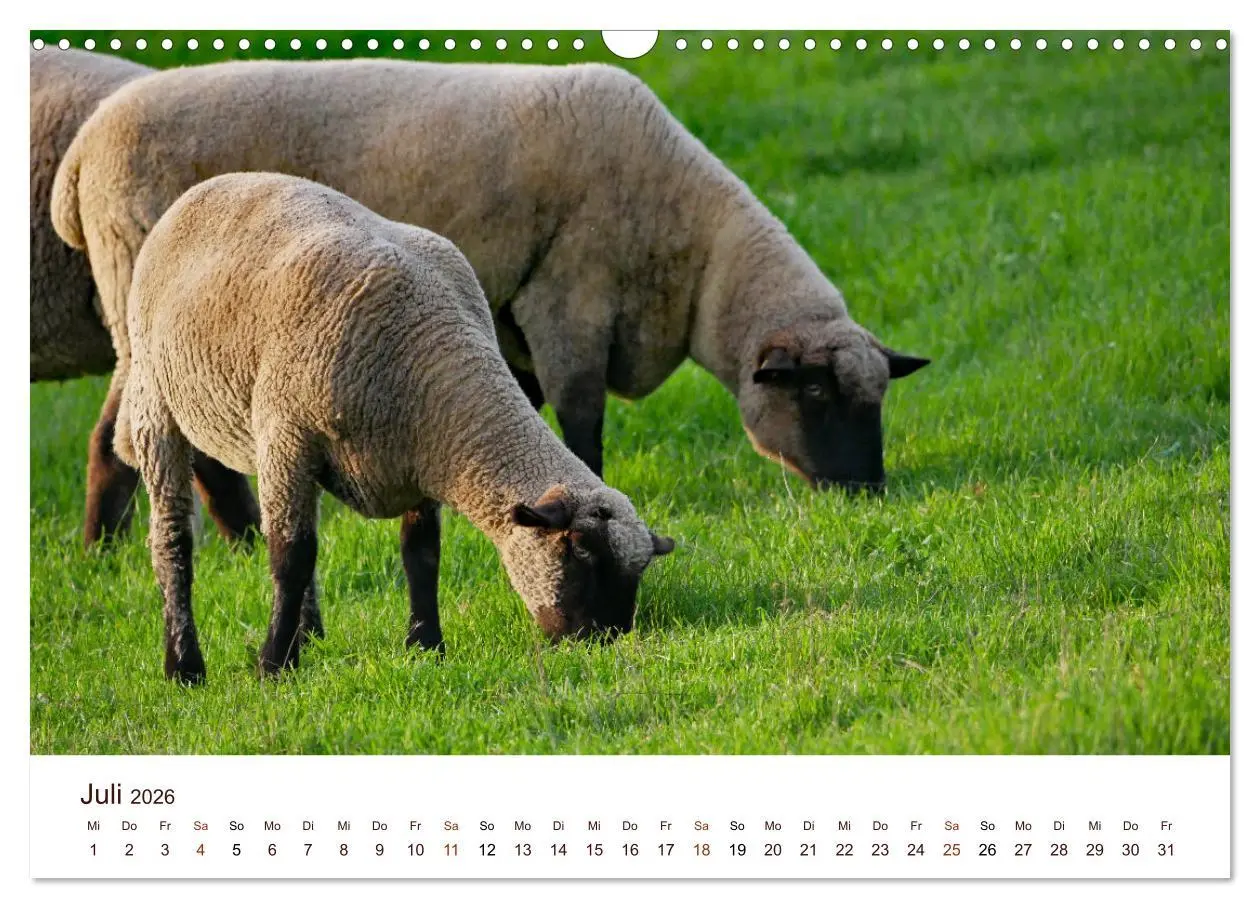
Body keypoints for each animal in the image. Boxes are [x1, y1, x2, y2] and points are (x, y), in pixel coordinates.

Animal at [54, 59, 930, 518]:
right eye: (814, 396)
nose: (869, 491)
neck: (691, 248)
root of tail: (83, 155)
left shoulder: (514, 317)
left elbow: (531, 408)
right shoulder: (568, 296)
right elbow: (581, 416)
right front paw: (588, 486)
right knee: (138, 436)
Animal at [118, 172, 675, 683]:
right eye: (578, 548)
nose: (604, 641)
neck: (431, 354)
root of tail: (211, 184)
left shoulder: (417, 457)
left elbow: (421, 554)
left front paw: (426, 646)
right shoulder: (289, 436)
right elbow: (291, 556)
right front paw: (274, 666)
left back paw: (309, 633)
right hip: (156, 402)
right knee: (172, 542)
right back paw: (184, 666)